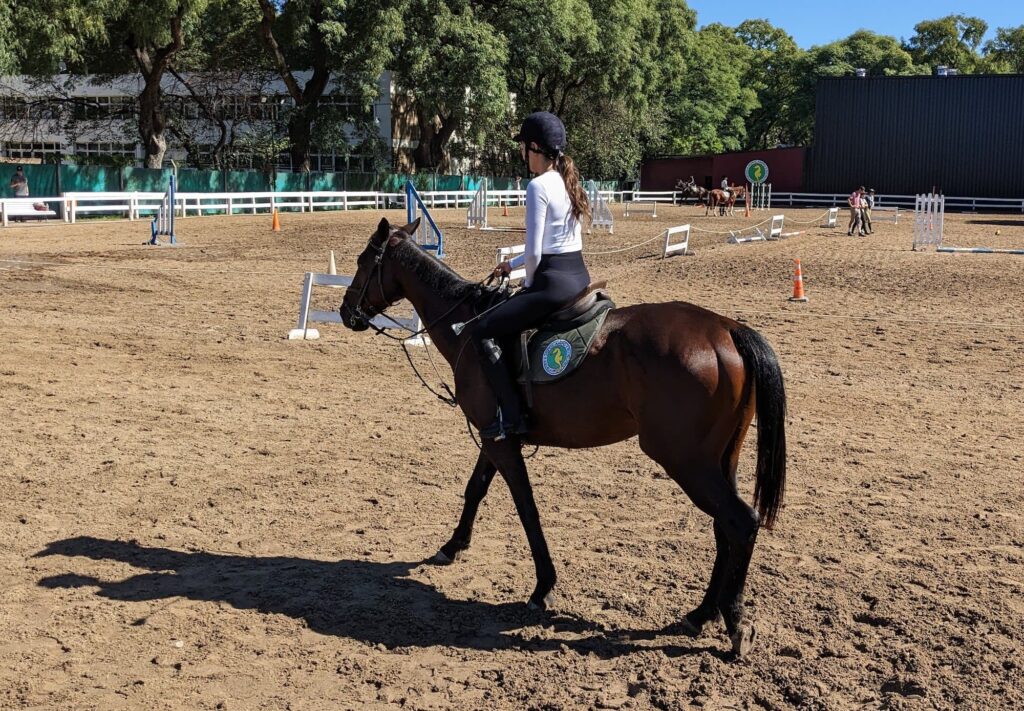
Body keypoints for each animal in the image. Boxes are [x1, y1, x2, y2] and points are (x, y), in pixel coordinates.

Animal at [339, 217, 786, 655]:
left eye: (363, 261)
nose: (346, 312)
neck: (466, 325)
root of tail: (726, 328)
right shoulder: (495, 435)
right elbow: (475, 489)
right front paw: (452, 546)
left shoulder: (500, 443)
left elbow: (526, 508)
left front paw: (543, 587)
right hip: (720, 460)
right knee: (724, 527)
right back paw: (701, 614)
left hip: (685, 461)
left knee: (740, 522)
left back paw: (734, 623)